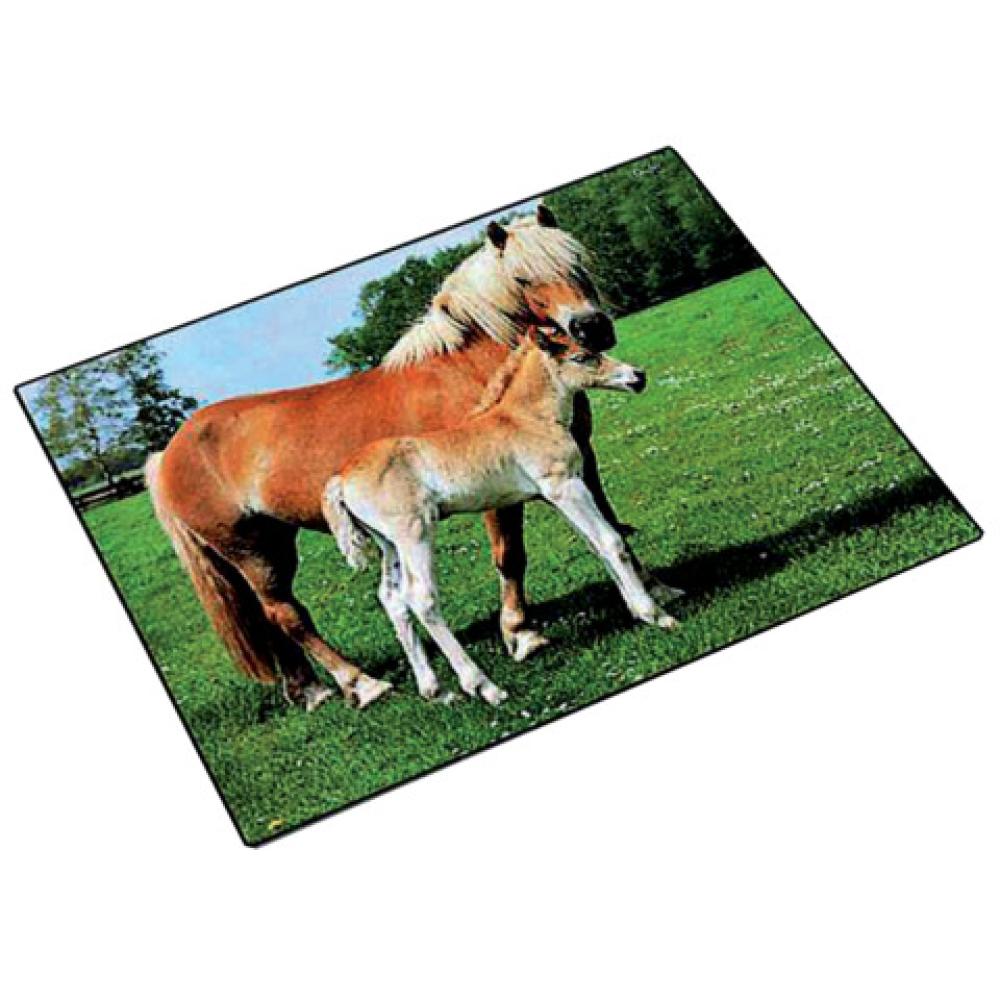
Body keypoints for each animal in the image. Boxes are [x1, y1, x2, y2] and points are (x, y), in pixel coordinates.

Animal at [324, 328, 680, 706]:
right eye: (582, 356)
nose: (637, 376)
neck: (527, 418)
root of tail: (341, 479)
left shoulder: (556, 494)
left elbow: (595, 545)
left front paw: (635, 607)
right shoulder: (564, 486)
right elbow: (612, 542)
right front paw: (655, 615)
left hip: (389, 544)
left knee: (392, 600)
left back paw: (436, 691)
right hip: (414, 532)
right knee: (421, 598)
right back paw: (484, 686)